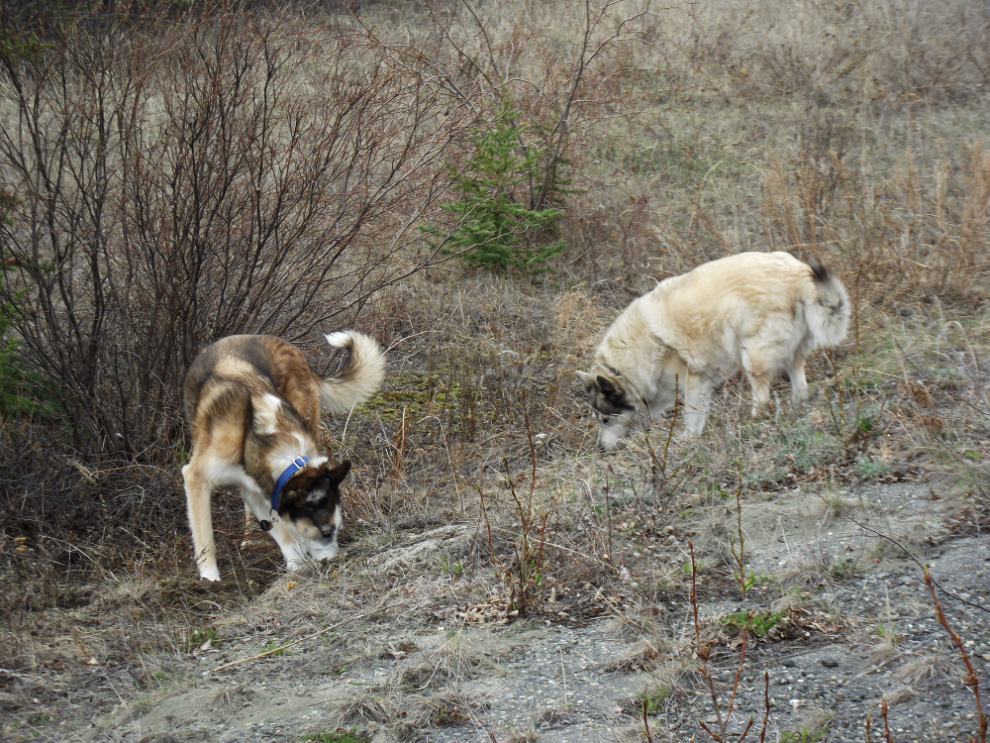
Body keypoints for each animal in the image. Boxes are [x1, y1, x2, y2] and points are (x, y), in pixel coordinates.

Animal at [184, 332, 386, 580]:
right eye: (326, 532)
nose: (334, 560)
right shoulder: (196, 478)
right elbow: (206, 540)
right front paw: (210, 579)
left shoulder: (260, 489)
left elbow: (284, 532)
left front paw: (297, 564)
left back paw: (252, 538)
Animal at [580, 250, 852, 450]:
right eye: (598, 420)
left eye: (606, 419)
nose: (600, 449)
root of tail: (798, 273)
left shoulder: (692, 383)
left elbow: (692, 415)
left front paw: (688, 440)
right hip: (790, 356)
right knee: (800, 384)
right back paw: (796, 407)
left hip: (752, 358)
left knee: (762, 398)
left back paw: (752, 420)